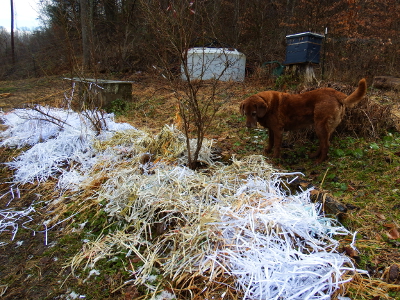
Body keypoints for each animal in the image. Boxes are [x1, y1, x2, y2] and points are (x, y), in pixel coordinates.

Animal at [239, 77, 368, 162]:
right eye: (245, 113)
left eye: (254, 113)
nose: (248, 126)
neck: (268, 105)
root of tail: (337, 93)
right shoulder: (271, 129)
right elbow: (270, 141)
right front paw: (267, 150)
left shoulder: (278, 130)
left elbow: (276, 145)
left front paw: (275, 157)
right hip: (325, 128)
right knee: (323, 143)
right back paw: (314, 156)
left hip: (320, 126)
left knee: (326, 144)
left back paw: (319, 161)